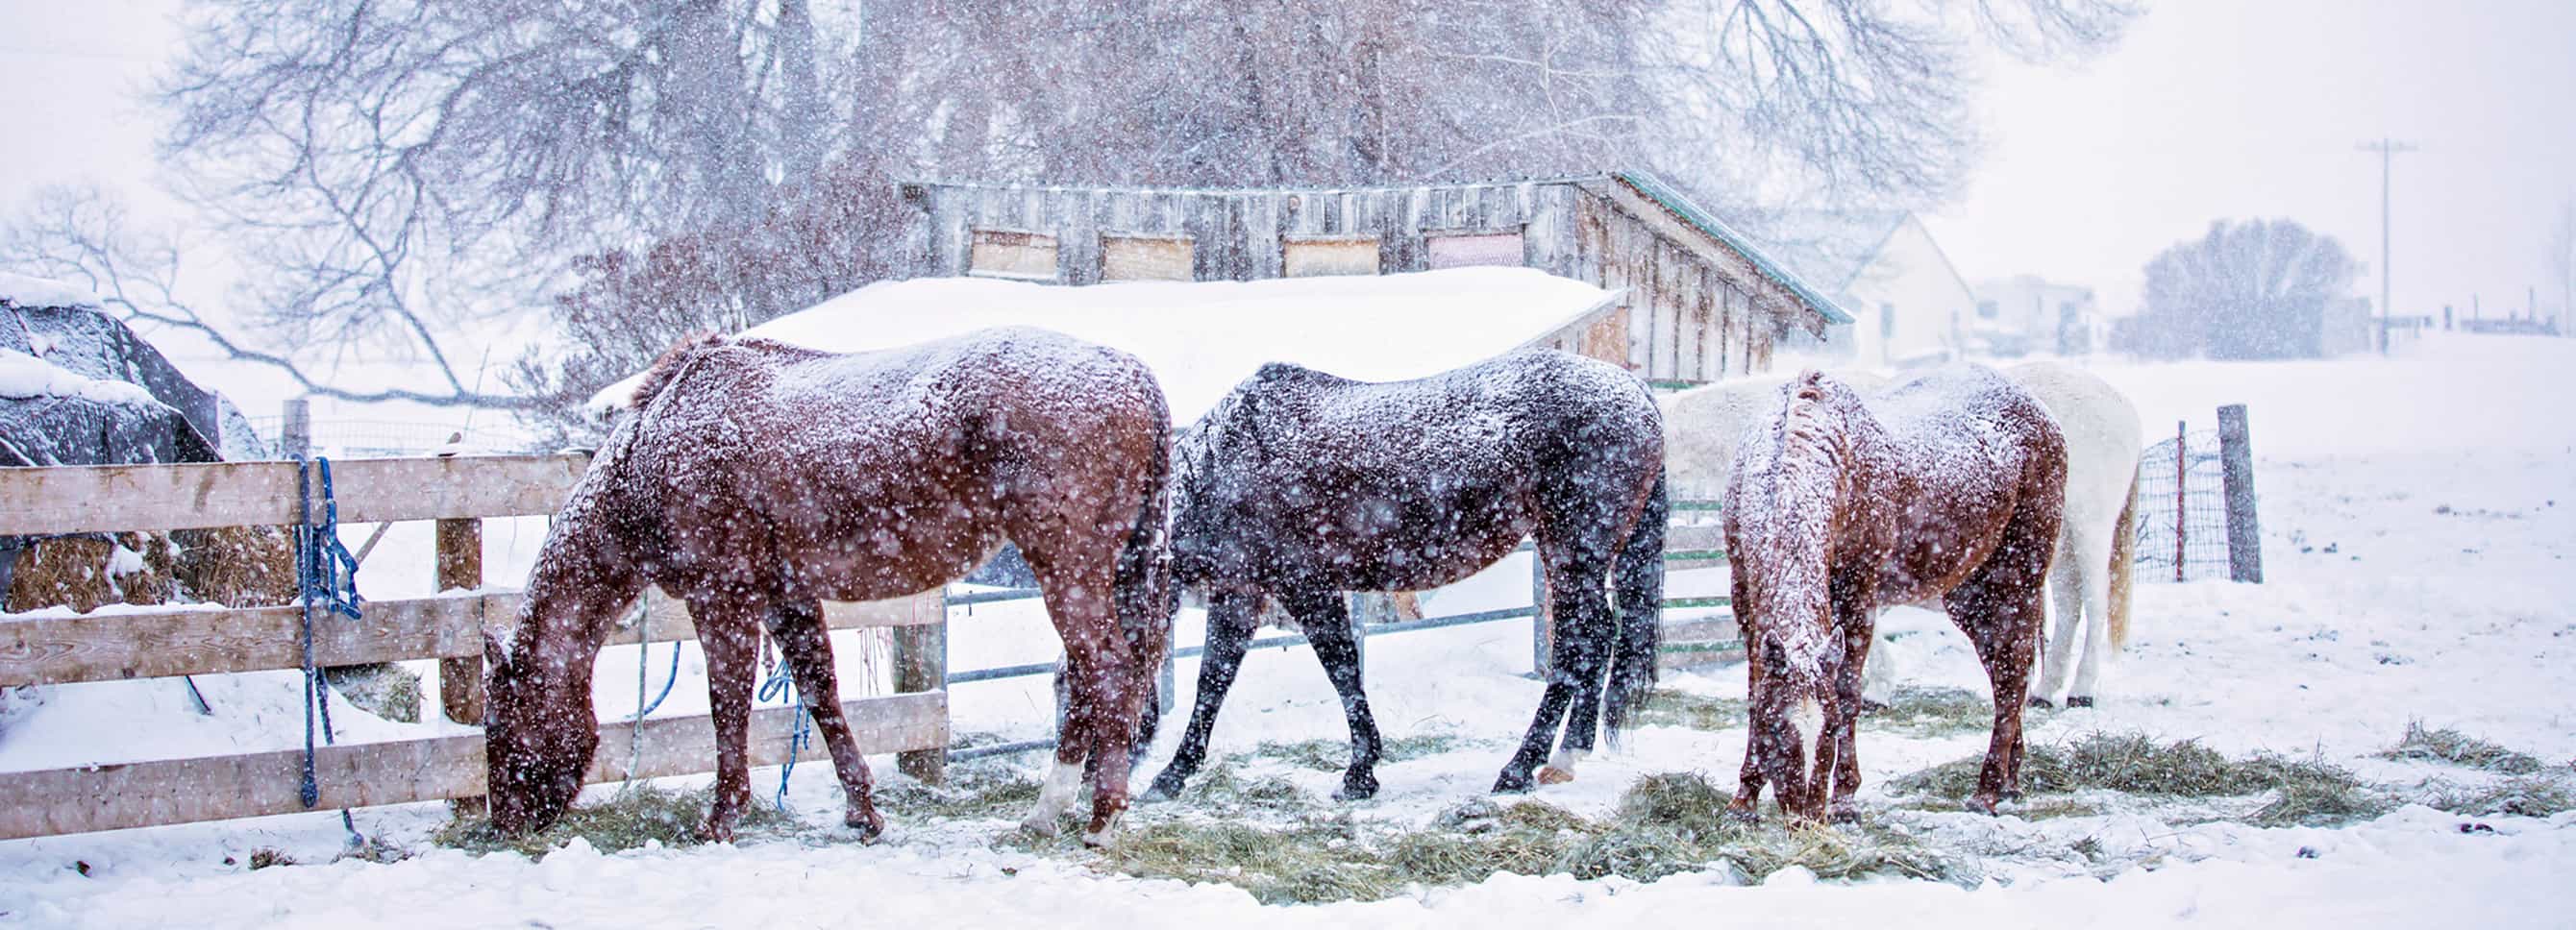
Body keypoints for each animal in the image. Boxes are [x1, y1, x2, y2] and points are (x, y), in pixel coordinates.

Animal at [482, 327, 1173, 847]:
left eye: (502, 720)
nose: (506, 824)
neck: (655, 448)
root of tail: (1133, 374)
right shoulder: (786, 599)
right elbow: (822, 696)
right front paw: (863, 811)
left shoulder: (722, 600)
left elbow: (727, 706)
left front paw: (722, 817)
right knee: (1089, 680)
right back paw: (1046, 813)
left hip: (1068, 569)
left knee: (1106, 672)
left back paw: (1100, 818)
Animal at [1143, 349, 1667, 802]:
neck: (1228, 460)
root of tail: (1635, 390)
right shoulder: (1239, 591)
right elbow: (1213, 680)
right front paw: (1173, 774)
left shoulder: (1306, 584)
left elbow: (1341, 668)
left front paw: (1360, 772)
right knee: (1597, 640)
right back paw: (1566, 757)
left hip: (1574, 552)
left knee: (1582, 644)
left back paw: (1521, 768)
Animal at [1661, 362, 2140, 706]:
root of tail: (2121, 403)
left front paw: (1877, 688)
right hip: (2054, 545)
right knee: (2070, 604)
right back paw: (2047, 690)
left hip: (2089, 529)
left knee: (2096, 601)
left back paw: (2082, 689)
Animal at [1723, 368, 2065, 821]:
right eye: (1776, 727)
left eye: (1829, 729)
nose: (1807, 819)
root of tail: (2042, 413)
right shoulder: (1744, 592)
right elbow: (1754, 689)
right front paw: (1744, 797)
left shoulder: (1859, 594)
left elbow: (1850, 691)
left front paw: (1845, 799)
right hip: (1973, 596)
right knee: (2006, 672)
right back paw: (2010, 780)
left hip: (2019, 578)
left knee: (2012, 679)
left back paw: (1987, 791)